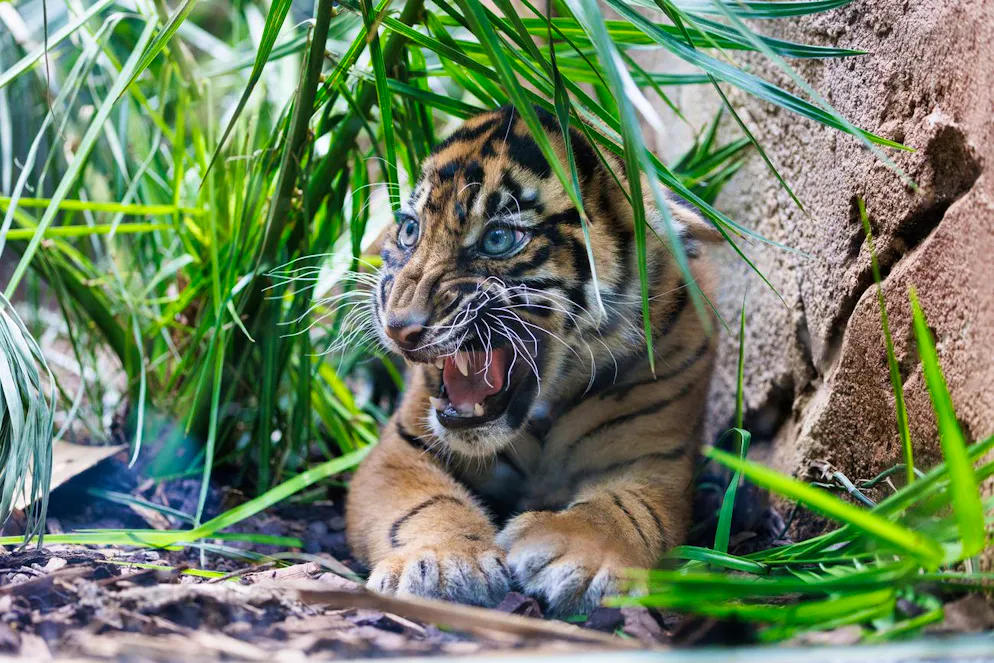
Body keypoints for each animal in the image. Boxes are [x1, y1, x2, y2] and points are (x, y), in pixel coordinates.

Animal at [345, 105, 718, 618]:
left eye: (499, 238)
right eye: (409, 230)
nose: (400, 327)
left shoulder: (657, 461)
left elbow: (627, 507)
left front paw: (580, 556)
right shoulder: (401, 449)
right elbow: (422, 504)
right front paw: (440, 561)